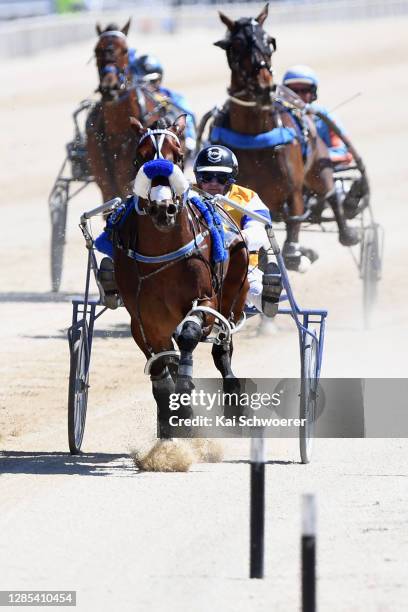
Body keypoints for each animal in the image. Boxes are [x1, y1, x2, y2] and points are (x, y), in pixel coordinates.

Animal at [111, 115, 249, 438]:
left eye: (179, 155)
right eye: (140, 158)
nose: (163, 208)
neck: (163, 250)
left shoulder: (205, 300)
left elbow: (189, 335)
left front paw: (185, 398)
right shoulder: (143, 318)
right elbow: (159, 365)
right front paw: (169, 415)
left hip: (234, 288)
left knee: (223, 345)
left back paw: (233, 398)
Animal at [206, 2, 358, 270]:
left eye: (270, 41)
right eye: (236, 45)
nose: (264, 87)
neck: (255, 135)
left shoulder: (293, 189)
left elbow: (293, 226)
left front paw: (296, 253)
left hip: (319, 163)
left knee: (329, 191)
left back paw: (345, 232)